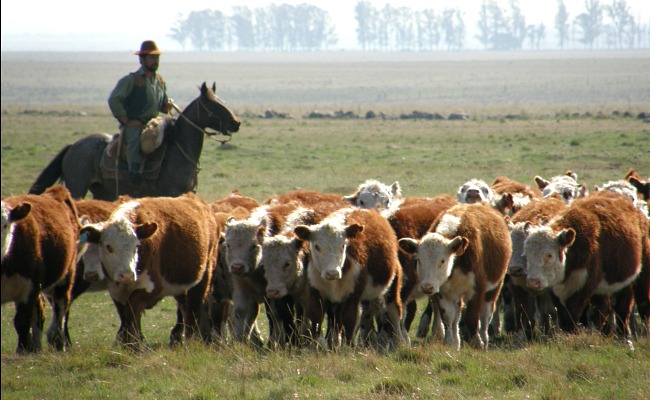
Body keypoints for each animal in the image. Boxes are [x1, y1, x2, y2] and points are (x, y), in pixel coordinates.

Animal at [1, 185, 79, 353]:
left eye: (4, 225)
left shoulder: (29, 288)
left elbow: (21, 322)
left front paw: (22, 350)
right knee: (39, 311)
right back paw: (35, 347)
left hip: (64, 279)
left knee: (60, 309)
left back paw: (57, 342)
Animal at [80, 193, 218, 348]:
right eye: (109, 247)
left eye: (136, 246)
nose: (126, 275)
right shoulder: (116, 291)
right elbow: (125, 317)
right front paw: (129, 343)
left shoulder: (152, 288)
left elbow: (131, 311)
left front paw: (134, 345)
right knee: (184, 308)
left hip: (203, 278)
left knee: (193, 308)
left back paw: (191, 340)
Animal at [293, 208, 404, 349]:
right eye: (317, 246)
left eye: (343, 246)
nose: (332, 273)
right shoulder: (315, 291)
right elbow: (316, 318)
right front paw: (316, 346)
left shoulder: (354, 294)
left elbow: (349, 319)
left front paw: (348, 348)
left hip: (393, 282)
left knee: (394, 311)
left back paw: (400, 342)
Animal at [398, 202, 511, 350]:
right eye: (418, 260)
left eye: (442, 260)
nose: (427, 287)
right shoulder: (443, 293)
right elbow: (448, 317)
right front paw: (451, 343)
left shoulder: (477, 290)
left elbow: (472, 318)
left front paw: (477, 343)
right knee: (457, 316)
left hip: (494, 289)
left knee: (486, 315)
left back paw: (484, 338)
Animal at [523, 191, 648, 342]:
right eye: (526, 254)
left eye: (550, 255)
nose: (533, 282)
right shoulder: (556, 291)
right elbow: (564, 317)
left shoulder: (582, 289)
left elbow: (573, 315)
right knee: (619, 308)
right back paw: (620, 334)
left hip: (642, 277)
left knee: (640, 305)